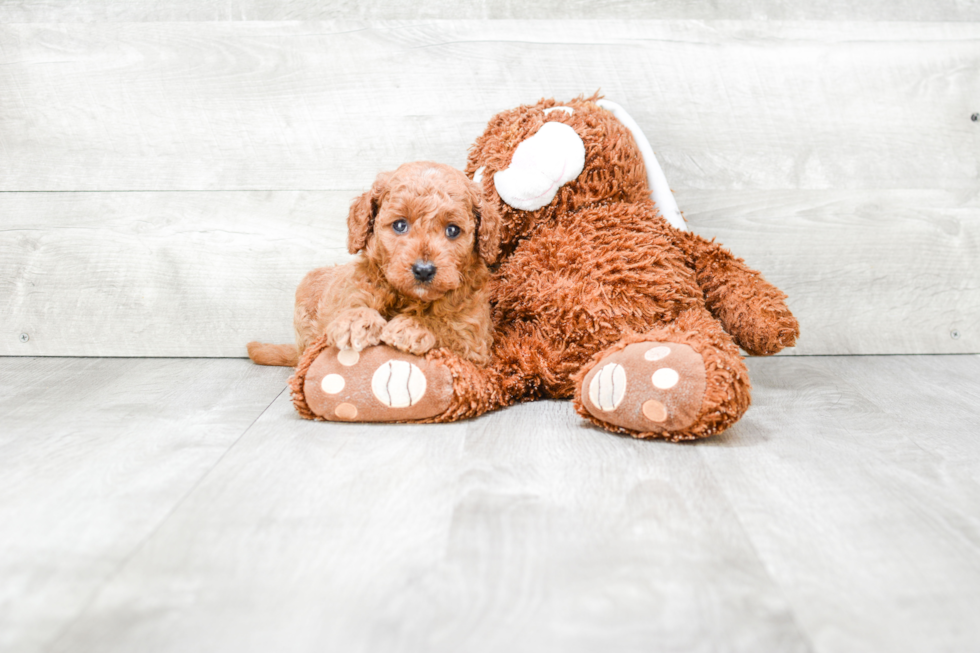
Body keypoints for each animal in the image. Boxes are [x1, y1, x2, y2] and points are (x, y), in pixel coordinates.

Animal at [245, 160, 498, 366]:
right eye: (400, 225)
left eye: (453, 230)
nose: (424, 271)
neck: (409, 299)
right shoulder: (355, 288)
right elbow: (351, 305)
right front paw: (355, 321)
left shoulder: (473, 339)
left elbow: (447, 327)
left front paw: (414, 326)